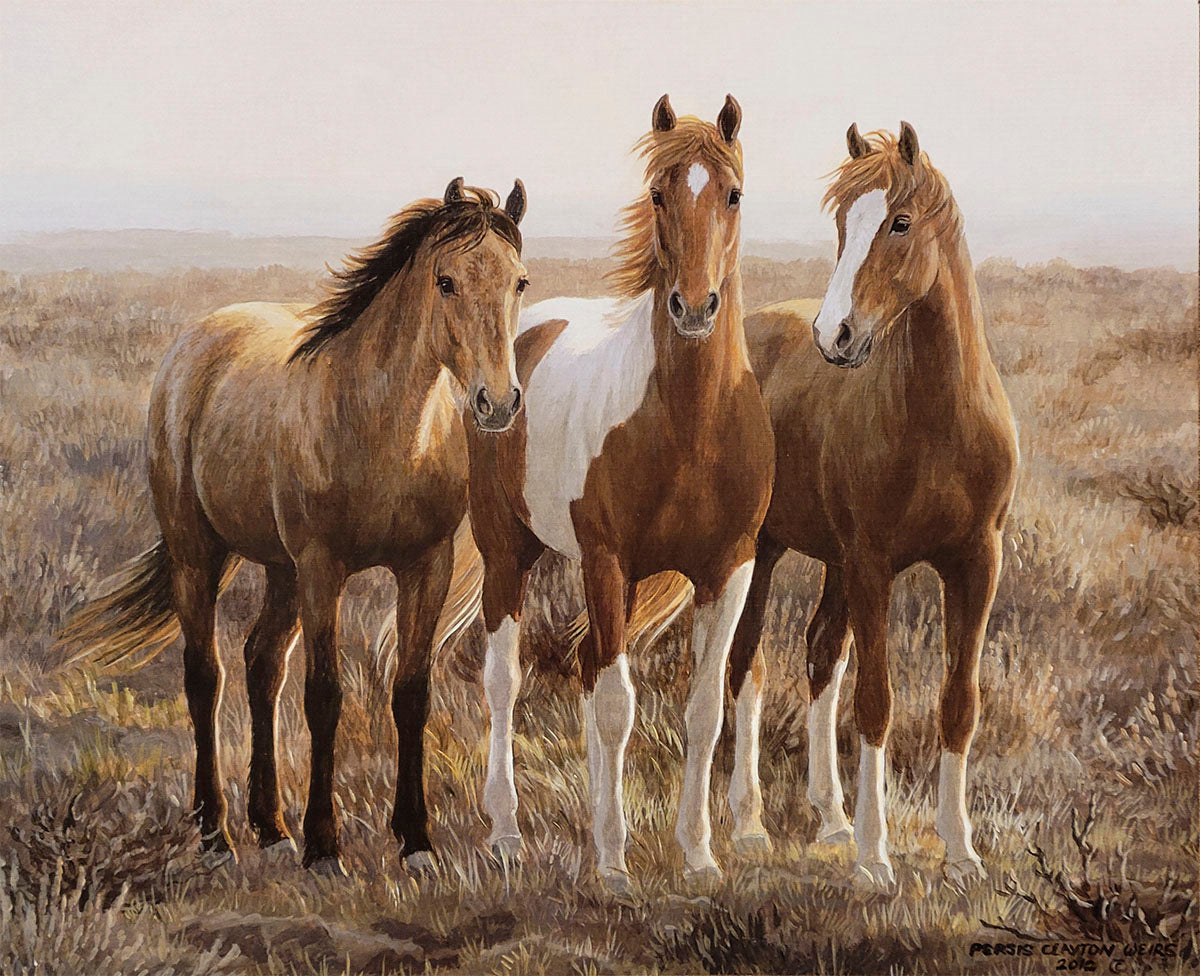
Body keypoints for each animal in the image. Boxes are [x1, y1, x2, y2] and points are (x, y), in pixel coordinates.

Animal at [56, 179, 530, 876]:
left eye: (519, 282)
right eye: (445, 281)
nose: (497, 403)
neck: (379, 425)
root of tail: (196, 340)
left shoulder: (427, 564)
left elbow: (411, 693)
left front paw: (415, 840)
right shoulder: (322, 567)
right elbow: (325, 696)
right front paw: (325, 846)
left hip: (278, 567)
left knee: (261, 664)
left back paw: (270, 827)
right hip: (201, 555)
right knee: (206, 675)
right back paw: (216, 834)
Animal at [447, 94, 775, 892]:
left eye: (733, 193)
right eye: (658, 193)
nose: (694, 307)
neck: (691, 427)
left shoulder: (729, 568)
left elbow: (700, 710)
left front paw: (697, 854)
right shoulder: (606, 560)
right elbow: (618, 708)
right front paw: (616, 861)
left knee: (591, 672)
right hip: (510, 553)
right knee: (506, 680)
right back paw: (507, 832)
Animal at [573, 123, 1019, 889]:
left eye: (900, 223)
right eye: (841, 225)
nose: (835, 335)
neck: (940, 420)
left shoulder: (974, 562)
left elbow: (958, 703)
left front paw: (960, 851)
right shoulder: (873, 563)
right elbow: (875, 702)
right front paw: (875, 858)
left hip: (829, 561)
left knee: (816, 656)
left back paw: (830, 818)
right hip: (768, 552)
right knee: (747, 666)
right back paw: (749, 824)